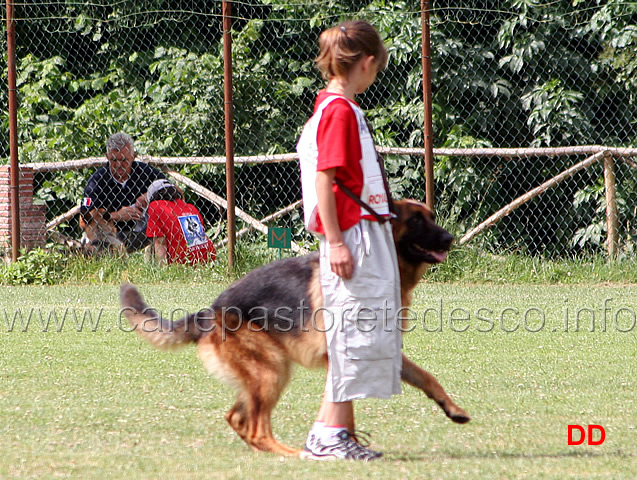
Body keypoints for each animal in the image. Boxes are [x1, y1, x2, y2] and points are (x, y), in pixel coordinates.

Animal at [120, 199, 468, 458]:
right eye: (417, 221)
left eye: (431, 217)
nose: (450, 239)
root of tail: (210, 311)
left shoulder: (382, 353)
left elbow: (427, 378)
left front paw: (452, 409)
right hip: (271, 371)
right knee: (257, 428)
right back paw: (290, 453)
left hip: (265, 373)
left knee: (238, 418)